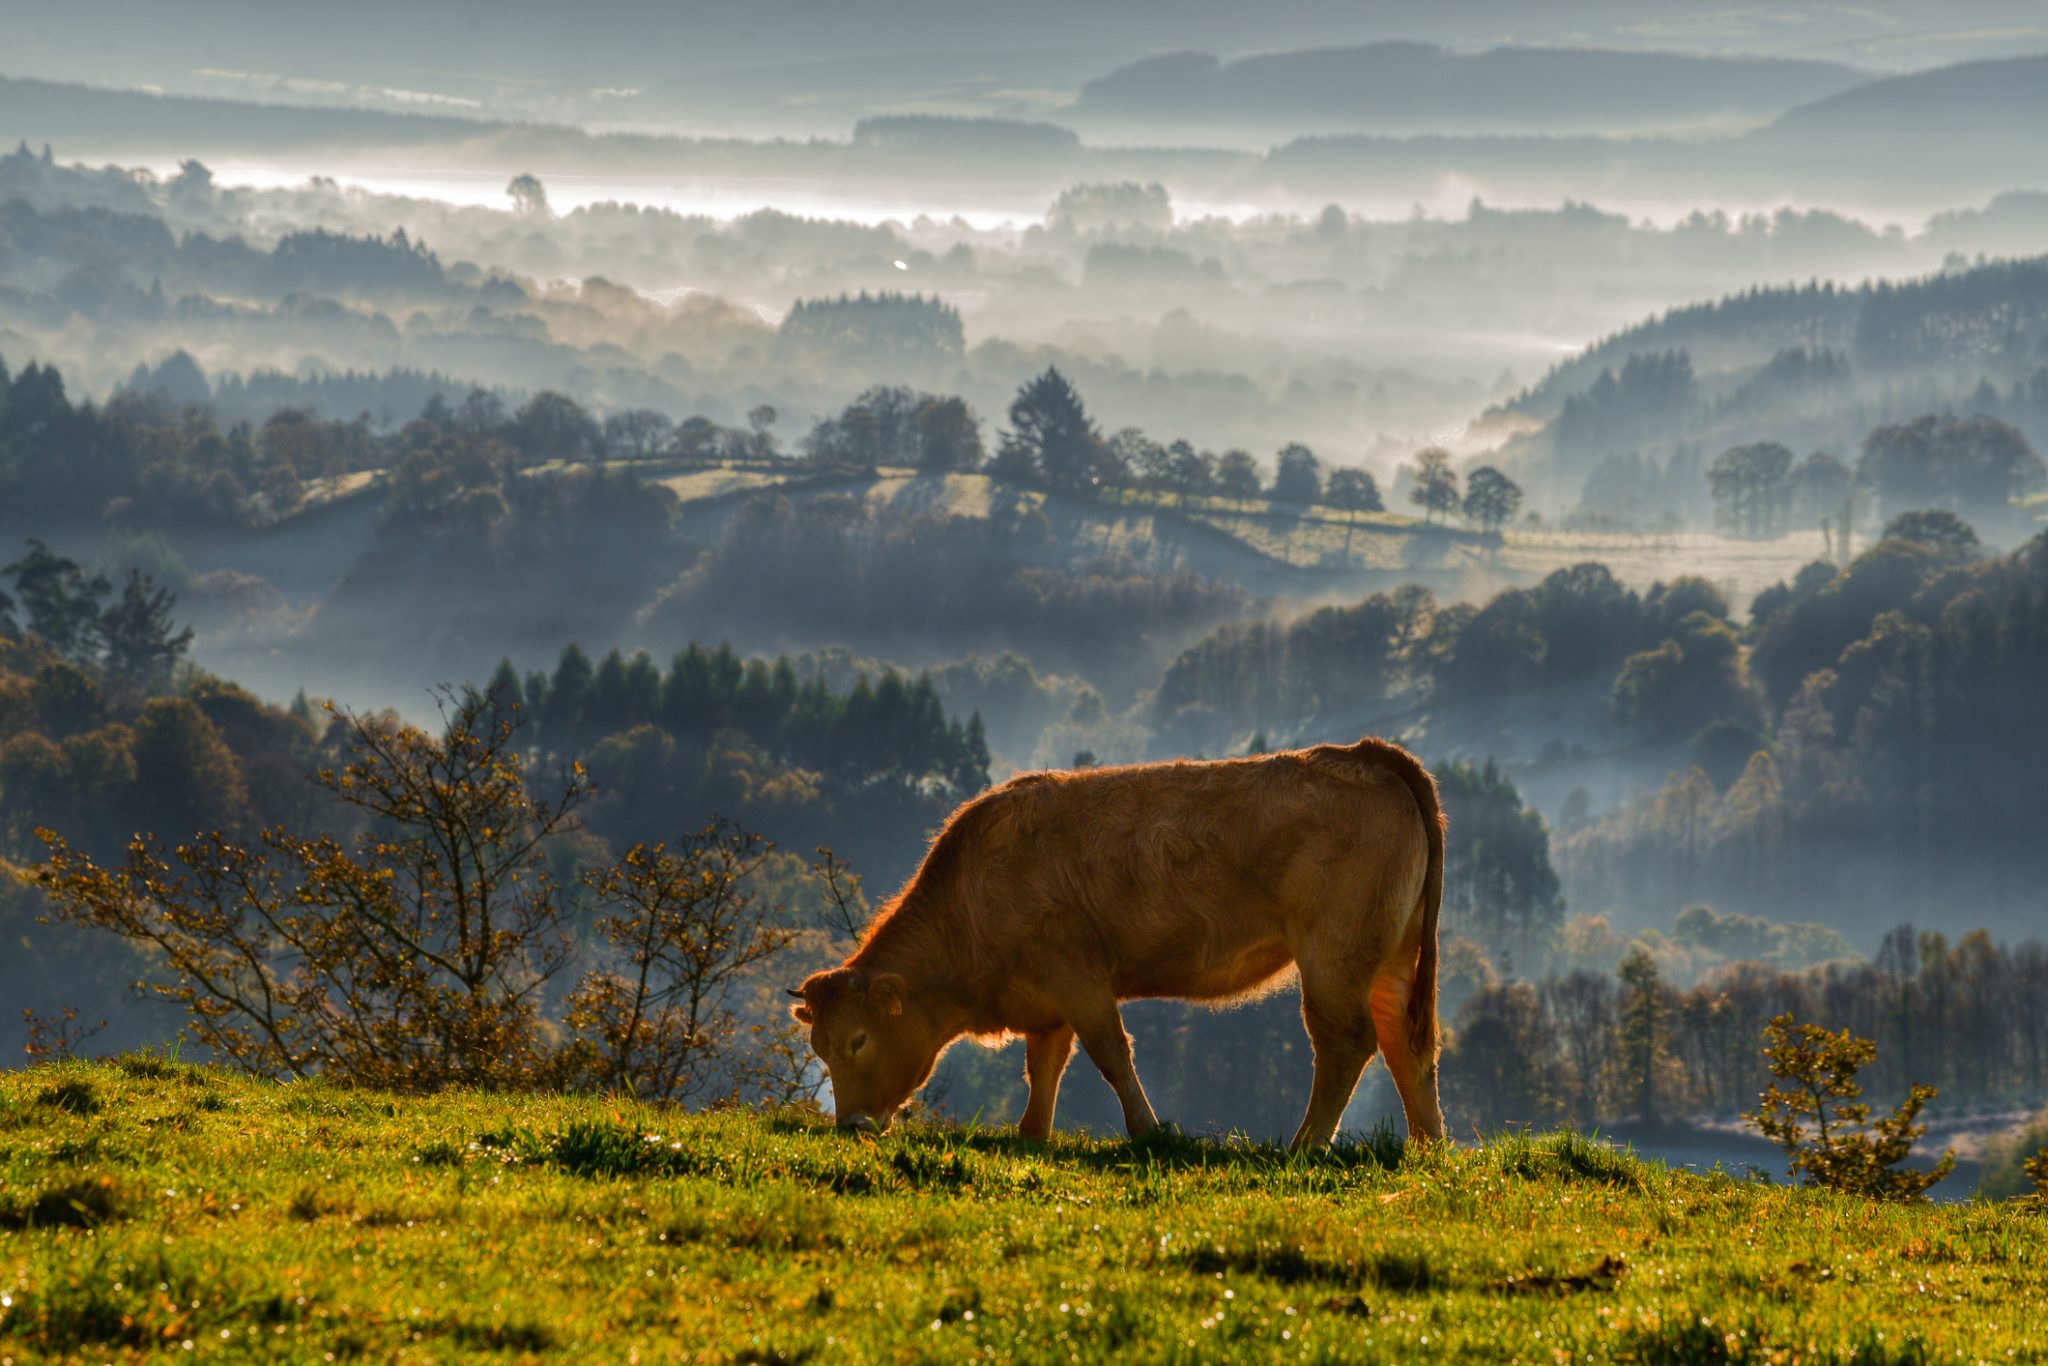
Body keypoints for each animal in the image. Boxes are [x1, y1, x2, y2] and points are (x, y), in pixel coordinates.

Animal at [789, 737, 1445, 1149]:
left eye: (857, 1041)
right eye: (818, 1048)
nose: (851, 1125)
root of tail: (1364, 754)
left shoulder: (1074, 972)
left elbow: (1109, 1052)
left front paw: (1149, 1131)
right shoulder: (1045, 999)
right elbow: (1044, 1065)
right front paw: (1032, 1134)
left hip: (1334, 954)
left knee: (1346, 1042)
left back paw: (1306, 1145)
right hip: (1393, 955)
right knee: (1407, 1044)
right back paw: (1428, 1147)